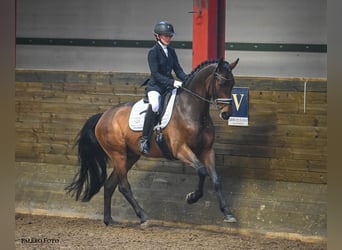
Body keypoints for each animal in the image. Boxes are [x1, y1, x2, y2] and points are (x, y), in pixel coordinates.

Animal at [65, 58, 239, 225]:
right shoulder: (181, 150)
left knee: (109, 185)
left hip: (130, 156)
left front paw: (228, 213)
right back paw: (143, 216)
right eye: (221, 83)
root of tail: (103, 116)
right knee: (123, 186)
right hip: (118, 154)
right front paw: (192, 197)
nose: (226, 114)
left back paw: (109, 220)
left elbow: (216, 179)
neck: (191, 110)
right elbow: (202, 171)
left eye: (232, 84)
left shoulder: (207, 150)